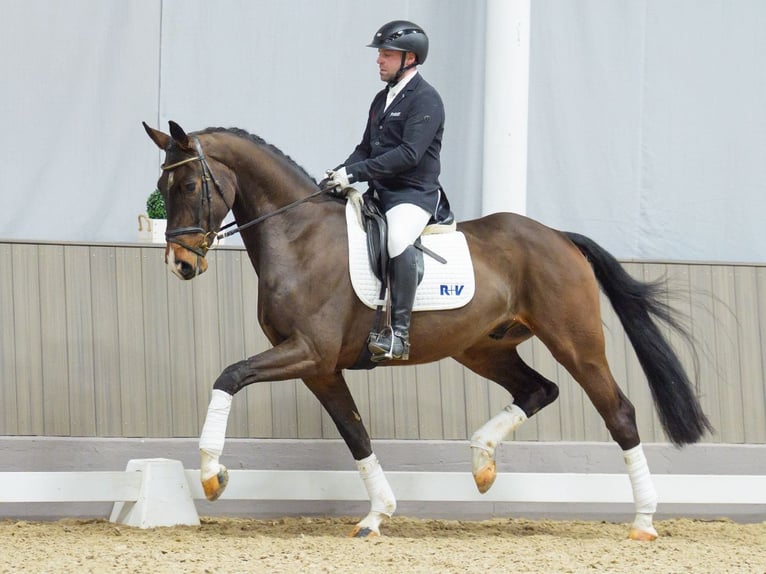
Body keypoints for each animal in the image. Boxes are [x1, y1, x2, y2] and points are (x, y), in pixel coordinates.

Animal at [146, 119, 712, 544]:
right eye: (161, 190)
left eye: (190, 186)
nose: (180, 264)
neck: (299, 237)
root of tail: (558, 237)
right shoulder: (320, 368)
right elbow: (355, 433)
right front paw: (377, 515)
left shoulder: (308, 352)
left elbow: (228, 375)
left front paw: (211, 474)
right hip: (482, 348)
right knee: (538, 389)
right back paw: (482, 460)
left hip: (576, 342)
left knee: (619, 412)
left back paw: (644, 521)